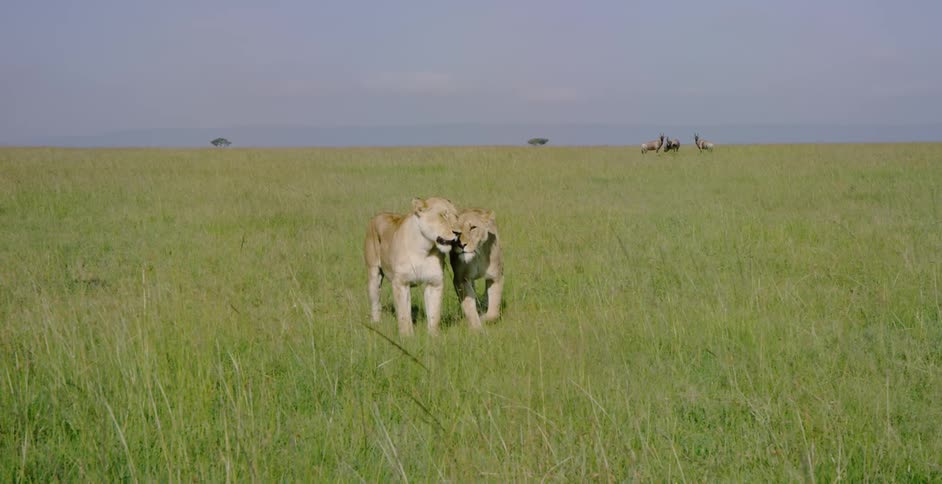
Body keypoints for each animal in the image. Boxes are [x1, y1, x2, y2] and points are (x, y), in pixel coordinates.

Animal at [364, 197, 461, 336]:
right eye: (443, 215)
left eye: (457, 216)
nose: (459, 233)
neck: (424, 248)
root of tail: (377, 215)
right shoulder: (401, 283)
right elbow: (404, 314)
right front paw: (407, 336)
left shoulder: (434, 283)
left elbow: (434, 314)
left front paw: (434, 336)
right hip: (373, 275)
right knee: (375, 302)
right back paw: (376, 323)